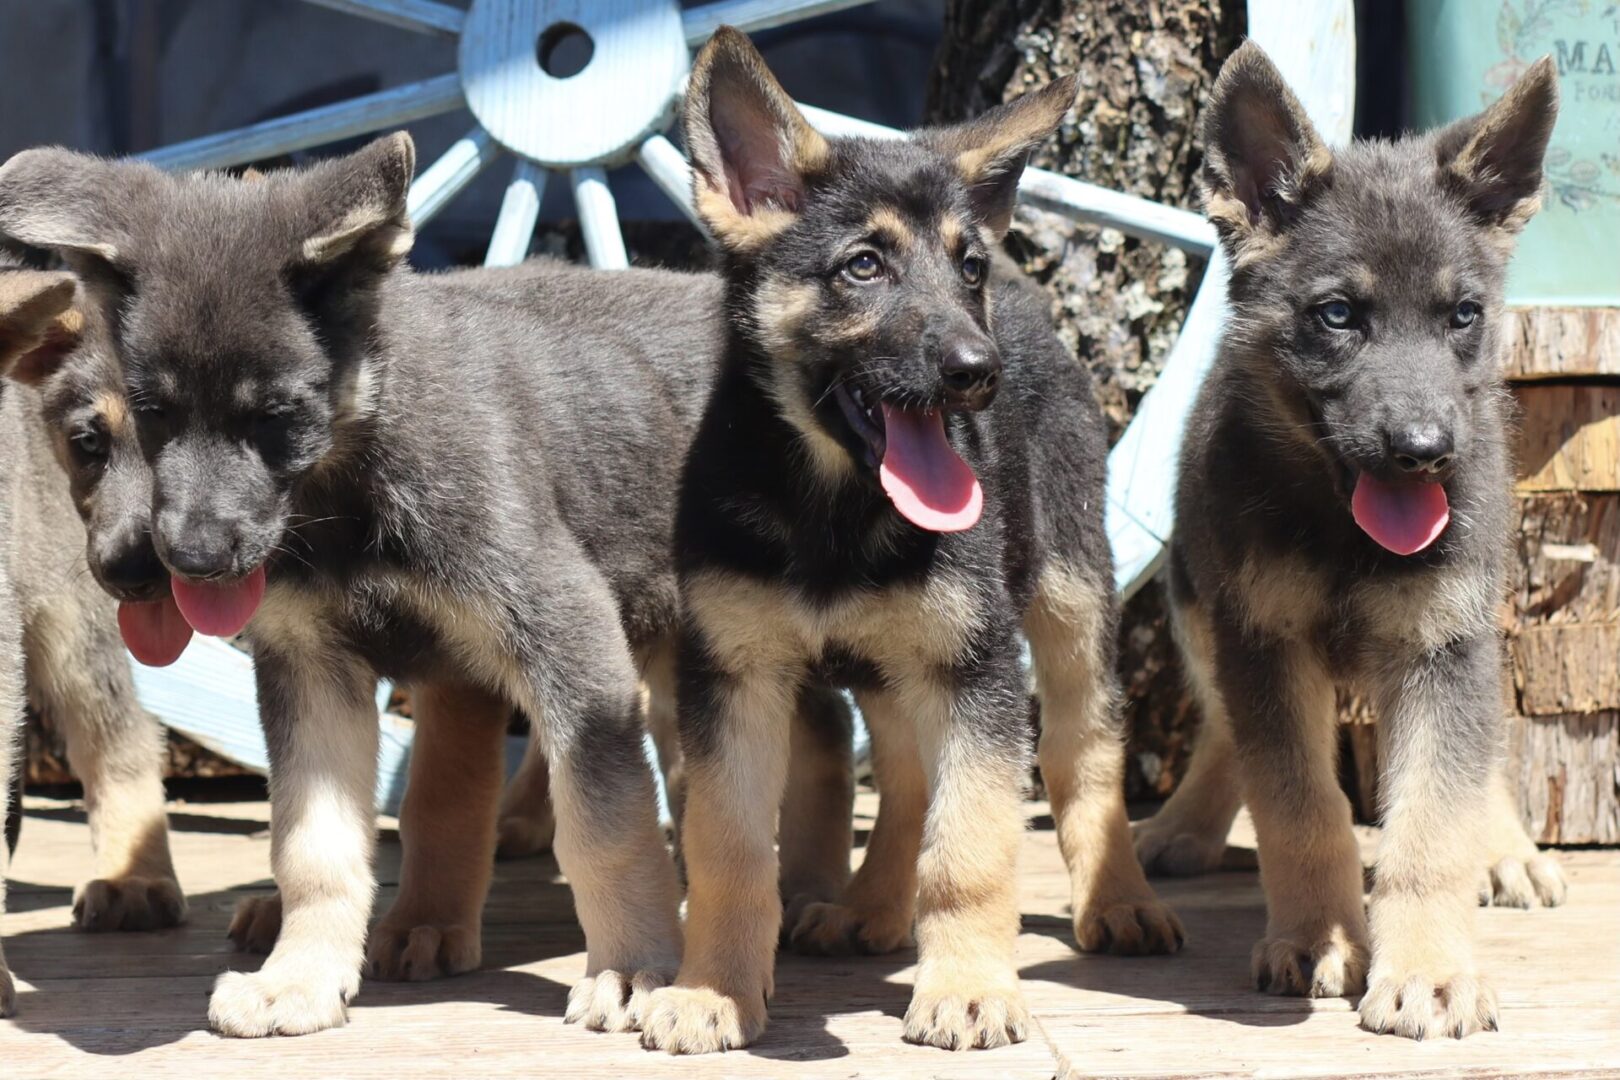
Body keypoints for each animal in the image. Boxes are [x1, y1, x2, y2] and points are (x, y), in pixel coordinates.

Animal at [638, 27, 1185, 1055]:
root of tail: (1026, 294)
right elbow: (729, 847)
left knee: (1082, 751)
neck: (831, 507)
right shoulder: (733, 678)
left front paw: (968, 986)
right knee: (900, 772)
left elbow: (968, 844)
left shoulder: (975, 669)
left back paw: (1118, 901)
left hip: (1066, 601)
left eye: (963, 267)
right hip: (897, 659)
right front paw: (712, 989)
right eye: (863, 266)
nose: (979, 371)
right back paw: (870, 908)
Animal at [1140, 46, 1555, 1042]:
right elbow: (1298, 804)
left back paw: (1507, 849)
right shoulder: (1263, 639)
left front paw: (1430, 973)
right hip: (1194, 601)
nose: (1424, 452)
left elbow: (1432, 819)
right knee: (1225, 730)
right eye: (1337, 316)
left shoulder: (1444, 645)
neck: (1340, 529)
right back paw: (1184, 826)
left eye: (1462, 315)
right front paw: (1319, 939)